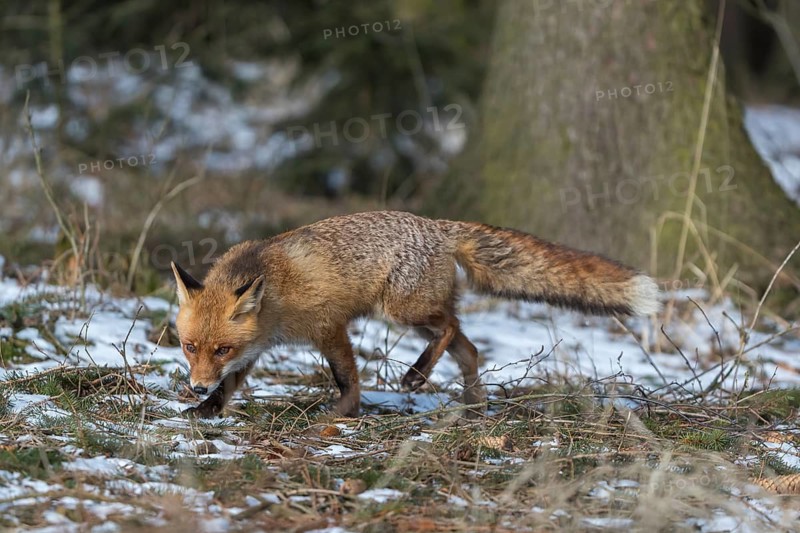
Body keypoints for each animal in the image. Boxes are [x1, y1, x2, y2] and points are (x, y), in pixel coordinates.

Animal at [170, 211, 659, 419]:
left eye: (221, 347)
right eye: (190, 347)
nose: (196, 386)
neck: (274, 295)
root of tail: (440, 225)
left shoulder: (329, 327)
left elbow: (347, 376)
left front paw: (344, 412)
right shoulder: (254, 348)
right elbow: (231, 385)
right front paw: (207, 409)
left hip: (404, 311)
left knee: (452, 329)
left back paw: (417, 376)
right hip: (416, 316)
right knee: (469, 347)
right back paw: (473, 404)